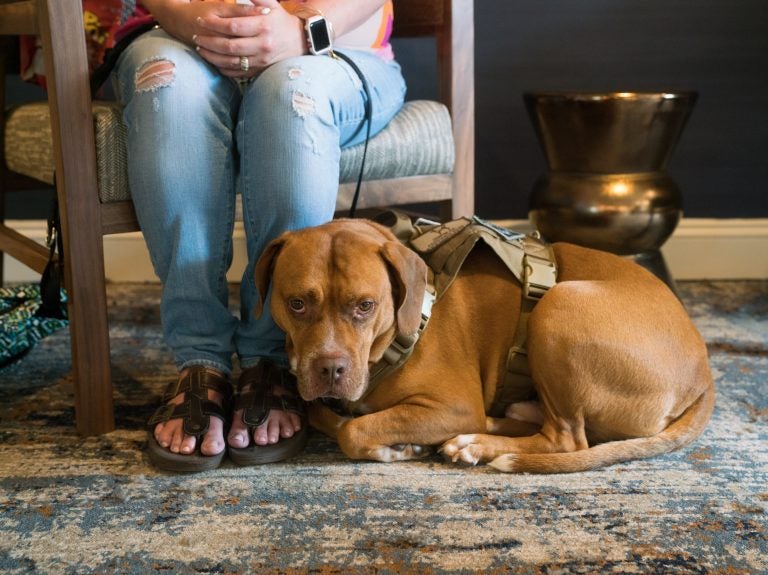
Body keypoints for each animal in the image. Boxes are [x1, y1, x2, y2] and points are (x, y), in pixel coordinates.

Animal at [256, 217, 712, 472]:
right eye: (297, 303)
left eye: (365, 305)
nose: (330, 369)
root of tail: (705, 376)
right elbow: (322, 412)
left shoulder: (454, 405)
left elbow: (353, 430)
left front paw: (395, 447)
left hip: (558, 305)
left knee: (565, 439)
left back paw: (477, 442)